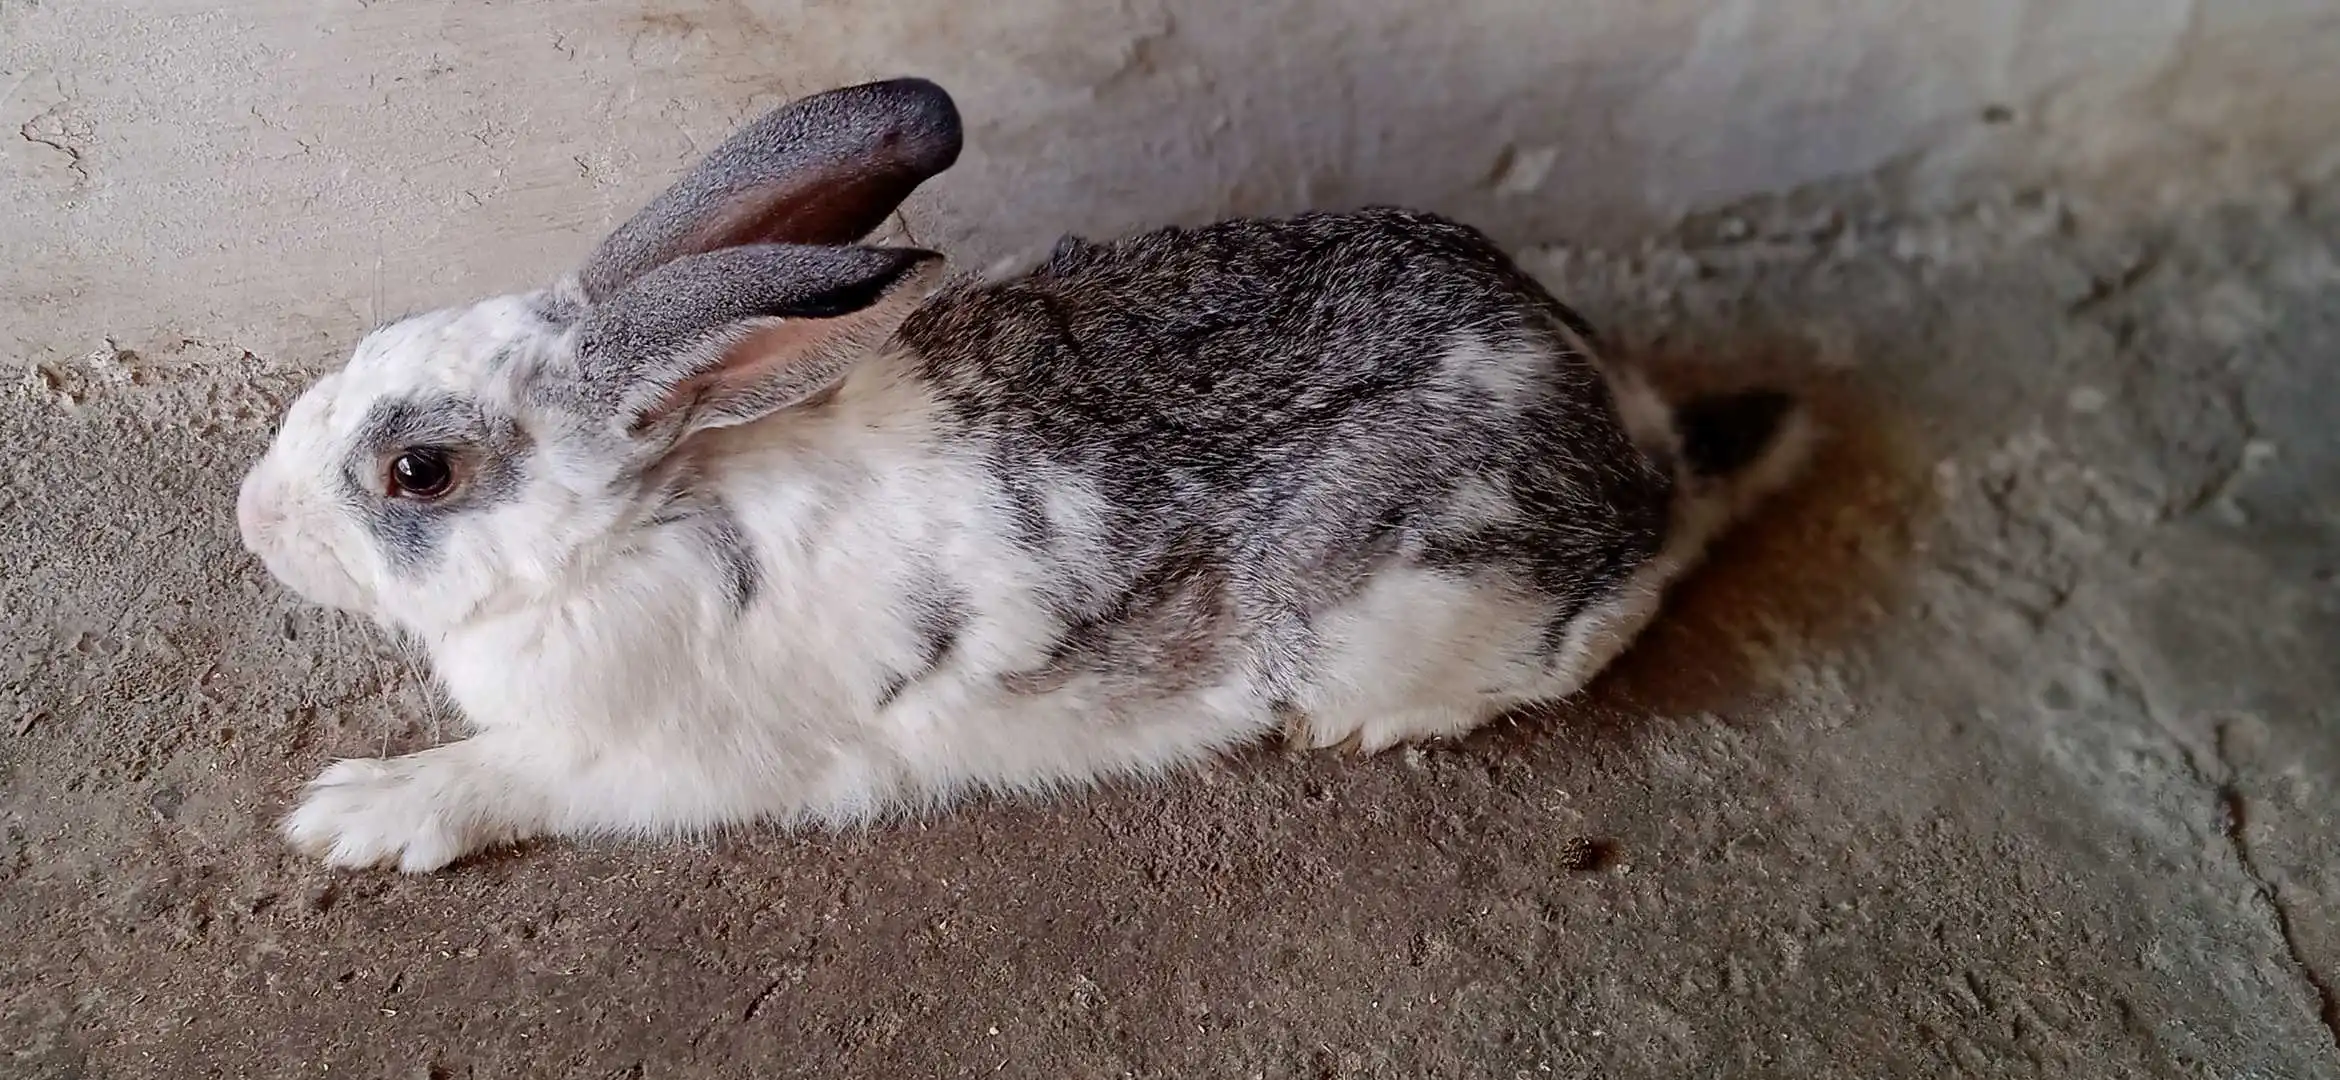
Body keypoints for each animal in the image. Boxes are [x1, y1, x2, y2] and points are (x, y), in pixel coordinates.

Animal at [237, 76, 1811, 872]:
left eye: (418, 470)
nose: (254, 522)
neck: (648, 511)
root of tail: (1632, 438)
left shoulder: (652, 759)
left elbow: (505, 777)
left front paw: (356, 815)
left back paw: (1352, 728)